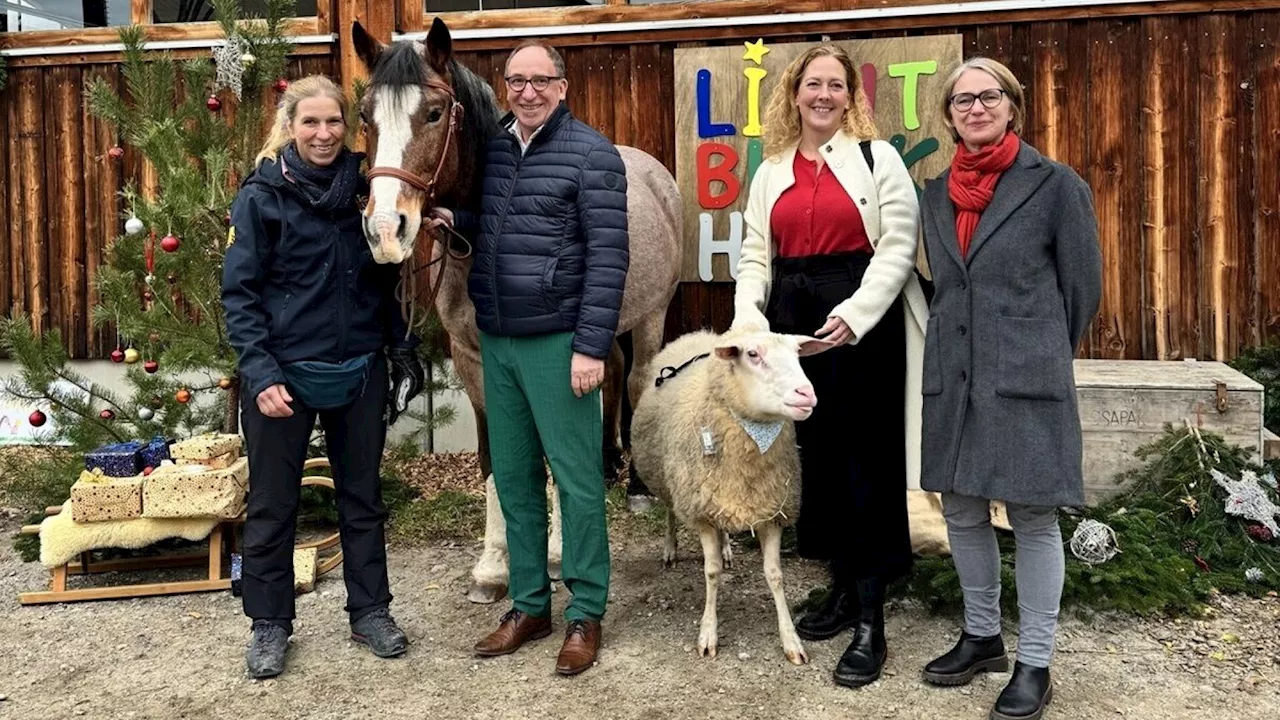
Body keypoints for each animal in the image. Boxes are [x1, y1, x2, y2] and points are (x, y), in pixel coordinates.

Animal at [350, 18, 680, 599]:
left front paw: (555, 553)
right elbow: (493, 458)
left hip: (651, 316)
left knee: (640, 381)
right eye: (366, 116)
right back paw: (607, 462)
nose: (386, 230)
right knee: (614, 372)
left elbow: (550, 451)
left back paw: (638, 486)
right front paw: (493, 564)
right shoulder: (473, 361)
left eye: (433, 112)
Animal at [629, 325, 829, 661]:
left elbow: (775, 575)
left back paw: (726, 549)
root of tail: (697, 334)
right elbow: (711, 573)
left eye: (797, 353)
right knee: (670, 511)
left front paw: (791, 640)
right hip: (669, 480)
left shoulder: (771, 511)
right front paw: (708, 635)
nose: (807, 394)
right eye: (753, 354)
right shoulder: (701, 512)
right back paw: (670, 549)